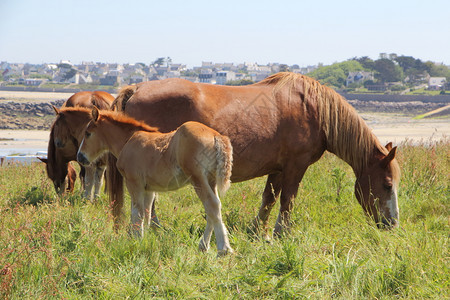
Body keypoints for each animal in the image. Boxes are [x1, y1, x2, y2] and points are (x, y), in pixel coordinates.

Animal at [78, 106, 234, 254]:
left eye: (88, 133)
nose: (80, 156)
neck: (128, 140)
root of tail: (216, 136)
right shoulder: (149, 189)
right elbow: (147, 213)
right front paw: (145, 238)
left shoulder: (134, 183)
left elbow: (137, 212)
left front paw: (136, 240)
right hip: (210, 180)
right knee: (213, 208)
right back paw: (204, 246)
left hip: (198, 179)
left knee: (212, 205)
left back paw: (223, 249)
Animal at [109, 71, 400, 238]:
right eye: (387, 185)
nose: (392, 225)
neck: (314, 109)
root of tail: (135, 89)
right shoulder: (295, 167)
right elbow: (287, 201)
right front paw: (282, 233)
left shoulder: (278, 169)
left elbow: (269, 199)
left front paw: (258, 230)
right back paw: (156, 230)